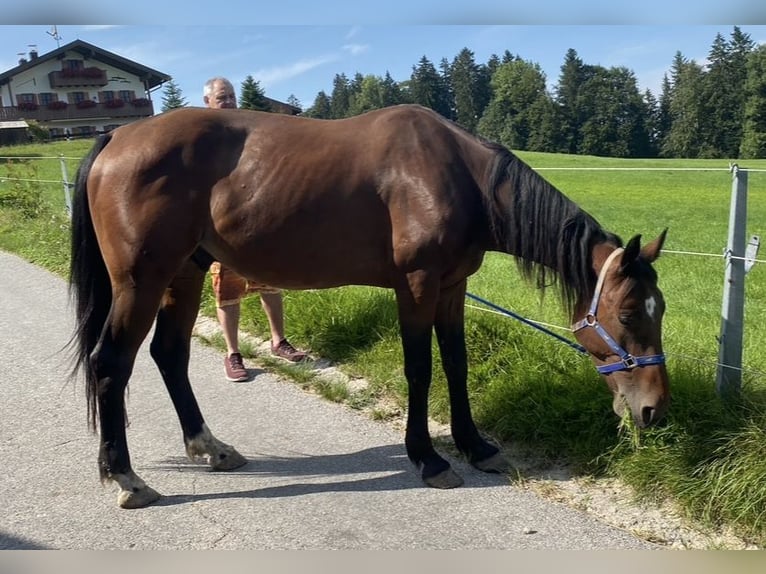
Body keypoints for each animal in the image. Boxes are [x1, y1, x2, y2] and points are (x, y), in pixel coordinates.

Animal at [72, 103, 672, 508]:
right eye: (627, 314)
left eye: (660, 309)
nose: (654, 409)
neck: (457, 175)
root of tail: (116, 136)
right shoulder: (417, 286)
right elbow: (421, 369)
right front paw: (429, 458)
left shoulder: (452, 287)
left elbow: (456, 365)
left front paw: (476, 446)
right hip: (141, 283)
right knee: (111, 365)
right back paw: (127, 479)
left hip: (185, 273)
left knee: (170, 355)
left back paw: (211, 448)